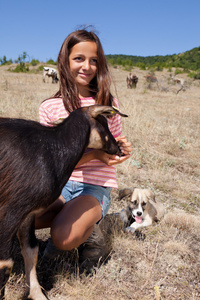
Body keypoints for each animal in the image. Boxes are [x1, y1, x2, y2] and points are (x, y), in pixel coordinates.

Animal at [0, 104, 127, 298]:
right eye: (104, 124)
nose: (118, 148)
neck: (53, 149)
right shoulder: (11, 210)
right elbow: (5, 264)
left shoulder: (28, 213)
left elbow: (31, 250)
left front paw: (37, 294)